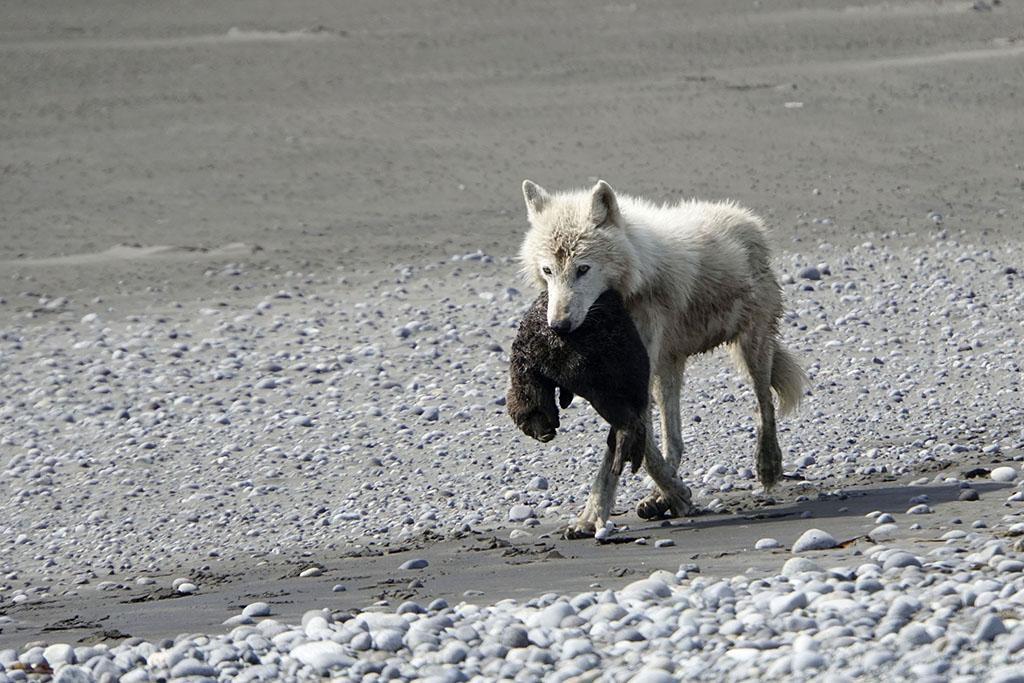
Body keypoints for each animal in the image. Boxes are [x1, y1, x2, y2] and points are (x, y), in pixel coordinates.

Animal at [520, 178, 806, 540]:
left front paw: (591, 517)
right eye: (548, 270)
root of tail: (747, 219)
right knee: (676, 440)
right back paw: (662, 497)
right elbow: (642, 447)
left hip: (750, 349)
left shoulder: (632, 380)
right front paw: (673, 494)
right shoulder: (626, 383)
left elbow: (619, 452)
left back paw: (767, 466)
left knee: (764, 405)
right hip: (669, 369)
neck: (633, 283)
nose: (559, 326)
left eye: (583, 269)